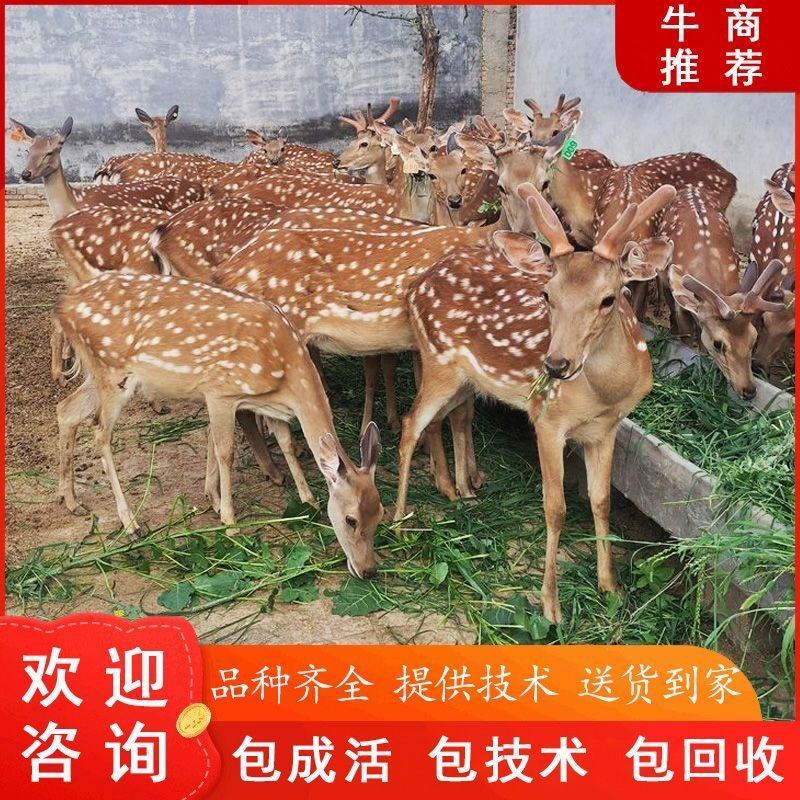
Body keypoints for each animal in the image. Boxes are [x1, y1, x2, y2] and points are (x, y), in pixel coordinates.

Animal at [54, 272, 384, 577]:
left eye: (381, 513)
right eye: (350, 519)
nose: (368, 570)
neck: (284, 370)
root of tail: (62, 308)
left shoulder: (257, 402)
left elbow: (283, 441)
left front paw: (308, 500)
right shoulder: (221, 391)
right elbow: (225, 451)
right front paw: (229, 521)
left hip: (97, 375)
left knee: (66, 409)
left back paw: (71, 500)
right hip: (112, 373)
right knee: (100, 433)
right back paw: (131, 523)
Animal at [394, 182, 676, 623]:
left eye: (609, 298)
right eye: (547, 294)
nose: (556, 364)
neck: (603, 393)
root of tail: (416, 285)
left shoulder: (605, 429)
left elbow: (601, 501)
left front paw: (610, 587)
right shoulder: (547, 419)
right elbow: (555, 507)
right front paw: (551, 605)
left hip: (465, 379)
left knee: (445, 419)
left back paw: (458, 490)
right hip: (438, 361)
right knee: (410, 424)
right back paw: (399, 525)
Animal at [660, 186, 788, 398]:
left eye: (754, 340)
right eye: (718, 344)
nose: (749, 391)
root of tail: (690, 188)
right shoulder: (682, 308)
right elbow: (686, 336)